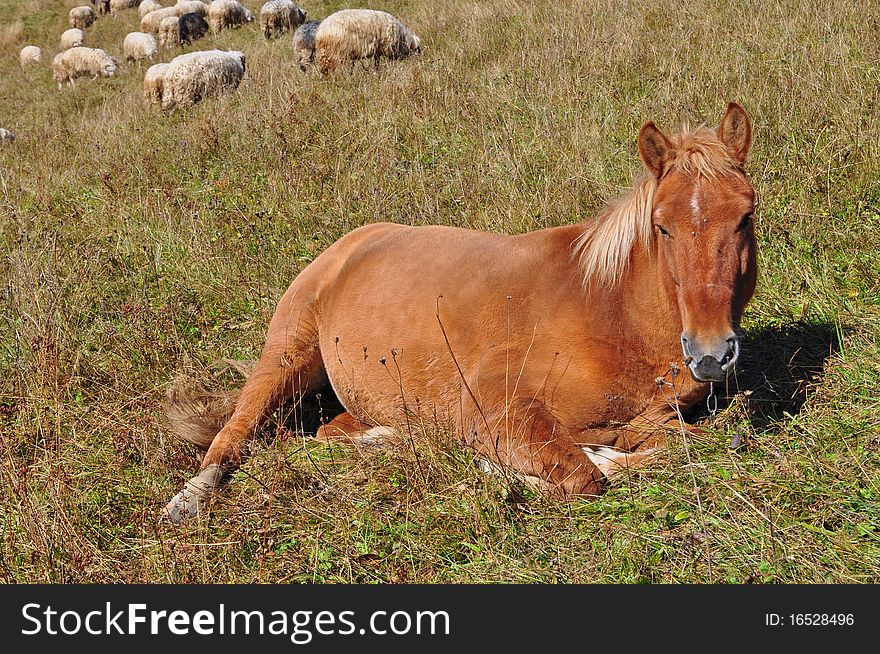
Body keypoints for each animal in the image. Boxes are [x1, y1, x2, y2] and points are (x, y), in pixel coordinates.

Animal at [163, 101, 756, 524]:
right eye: (662, 226)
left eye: (745, 217)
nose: (710, 353)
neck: (613, 315)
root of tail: (351, 243)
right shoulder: (495, 402)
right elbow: (585, 476)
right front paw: (513, 472)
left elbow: (695, 440)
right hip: (285, 354)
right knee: (232, 436)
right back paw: (187, 501)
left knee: (334, 432)